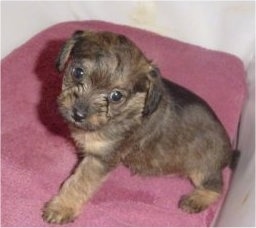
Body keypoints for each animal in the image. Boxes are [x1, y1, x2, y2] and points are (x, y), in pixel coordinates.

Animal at [42, 29, 236, 224]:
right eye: (78, 72)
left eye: (116, 96)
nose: (78, 114)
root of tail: (229, 151)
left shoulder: (101, 159)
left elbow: (79, 183)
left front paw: (61, 207)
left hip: (203, 168)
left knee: (216, 186)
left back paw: (196, 199)